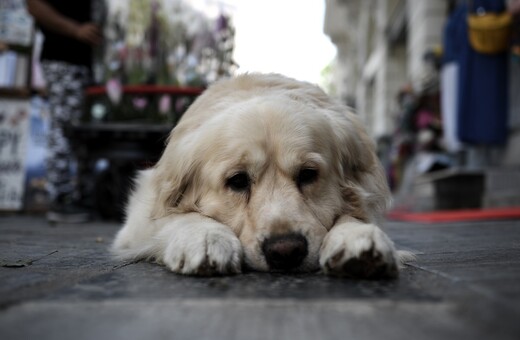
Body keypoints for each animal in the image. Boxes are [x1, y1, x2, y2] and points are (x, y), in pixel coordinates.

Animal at [111, 73, 412, 278]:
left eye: (308, 174)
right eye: (237, 181)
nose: (286, 251)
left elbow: (354, 214)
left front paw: (356, 237)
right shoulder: (142, 213)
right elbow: (176, 217)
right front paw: (206, 237)